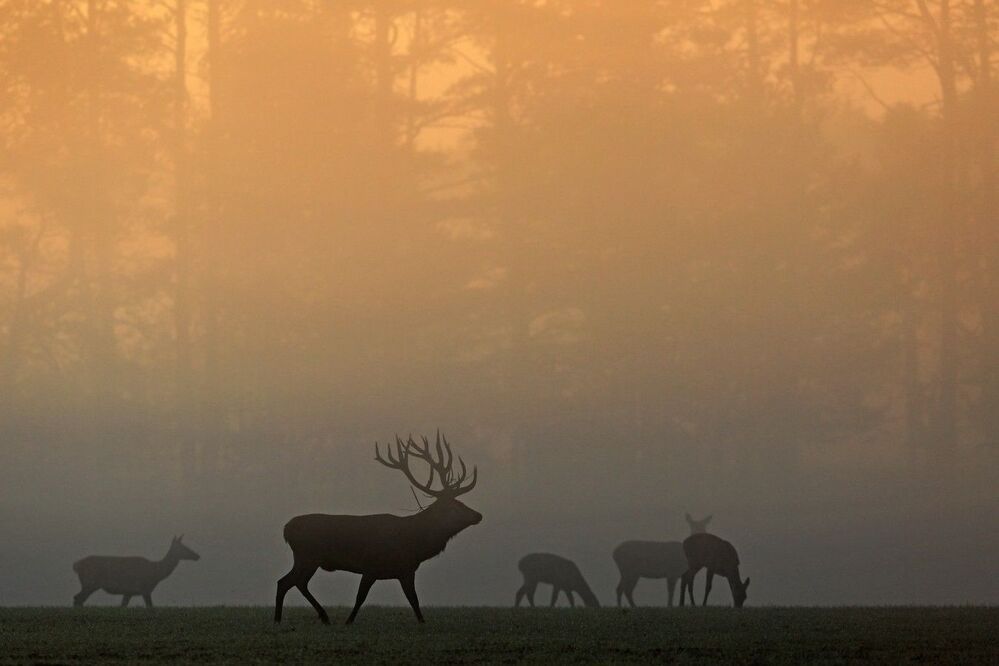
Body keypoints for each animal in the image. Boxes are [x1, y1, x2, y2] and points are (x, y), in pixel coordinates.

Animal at [72, 535, 200, 608]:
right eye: (183, 547)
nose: (197, 556)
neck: (156, 573)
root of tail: (76, 565)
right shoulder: (145, 589)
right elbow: (150, 607)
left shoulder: (129, 592)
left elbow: (123, 606)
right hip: (90, 583)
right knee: (77, 598)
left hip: (89, 584)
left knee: (78, 599)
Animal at [275, 432, 481, 625]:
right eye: (455, 506)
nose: (478, 515)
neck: (413, 542)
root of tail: (286, 529)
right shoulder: (372, 566)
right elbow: (362, 597)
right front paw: (349, 621)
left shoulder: (405, 570)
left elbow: (413, 599)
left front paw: (422, 622)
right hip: (307, 556)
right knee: (288, 581)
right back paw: (293, 618)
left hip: (306, 558)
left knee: (293, 582)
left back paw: (303, 617)